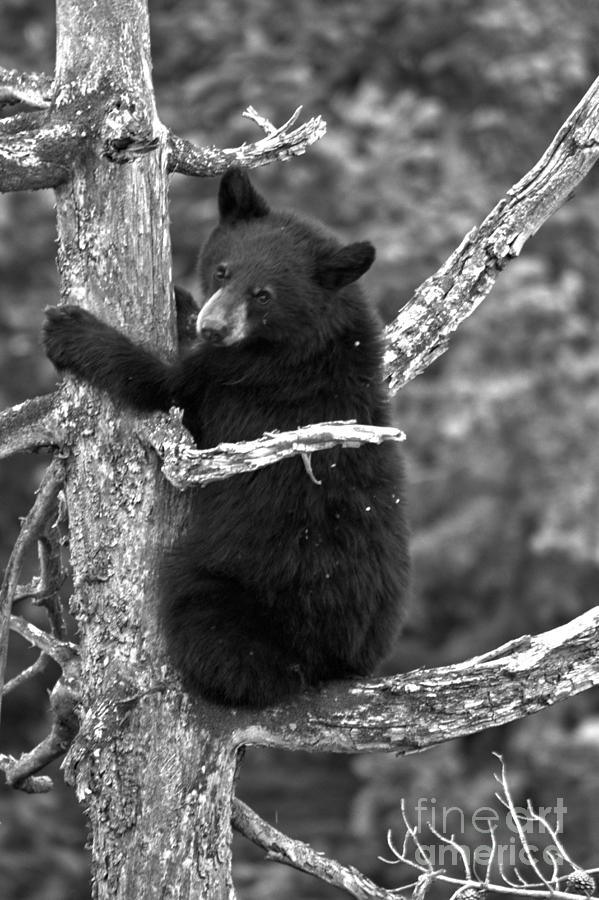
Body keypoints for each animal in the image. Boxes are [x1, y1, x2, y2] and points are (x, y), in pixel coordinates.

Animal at [43, 166, 409, 708]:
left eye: (264, 295)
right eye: (222, 271)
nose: (213, 327)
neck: (305, 339)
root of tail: (337, 664)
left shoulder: (239, 381)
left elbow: (158, 383)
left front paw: (73, 331)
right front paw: (180, 301)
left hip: (228, 588)